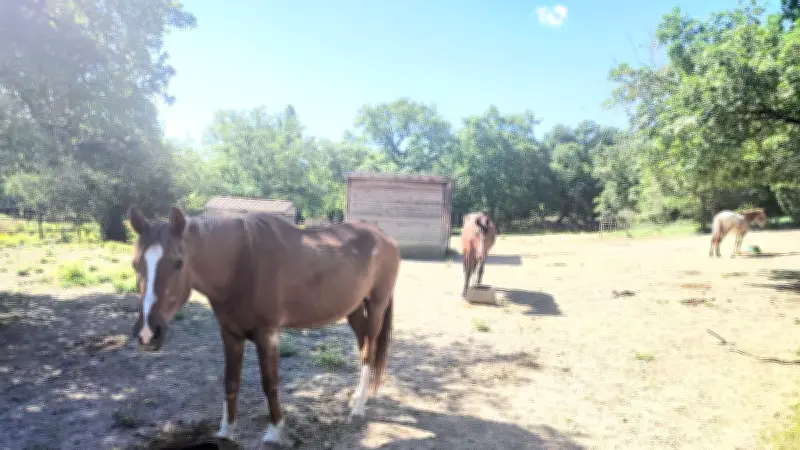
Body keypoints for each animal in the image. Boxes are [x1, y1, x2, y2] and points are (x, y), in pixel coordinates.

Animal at [127, 206, 401, 446]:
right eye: (135, 264)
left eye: (179, 262)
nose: (147, 333)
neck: (240, 263)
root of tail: (384, 237)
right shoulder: (230, 334)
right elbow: (230, 381)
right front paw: (226, 432)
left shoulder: (267, 334)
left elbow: (270, 383)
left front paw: (274, 432)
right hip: (353, 310)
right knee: (364, 346)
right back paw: (358, 397)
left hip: (376, 306)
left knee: (369, 351)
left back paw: (358, 407)